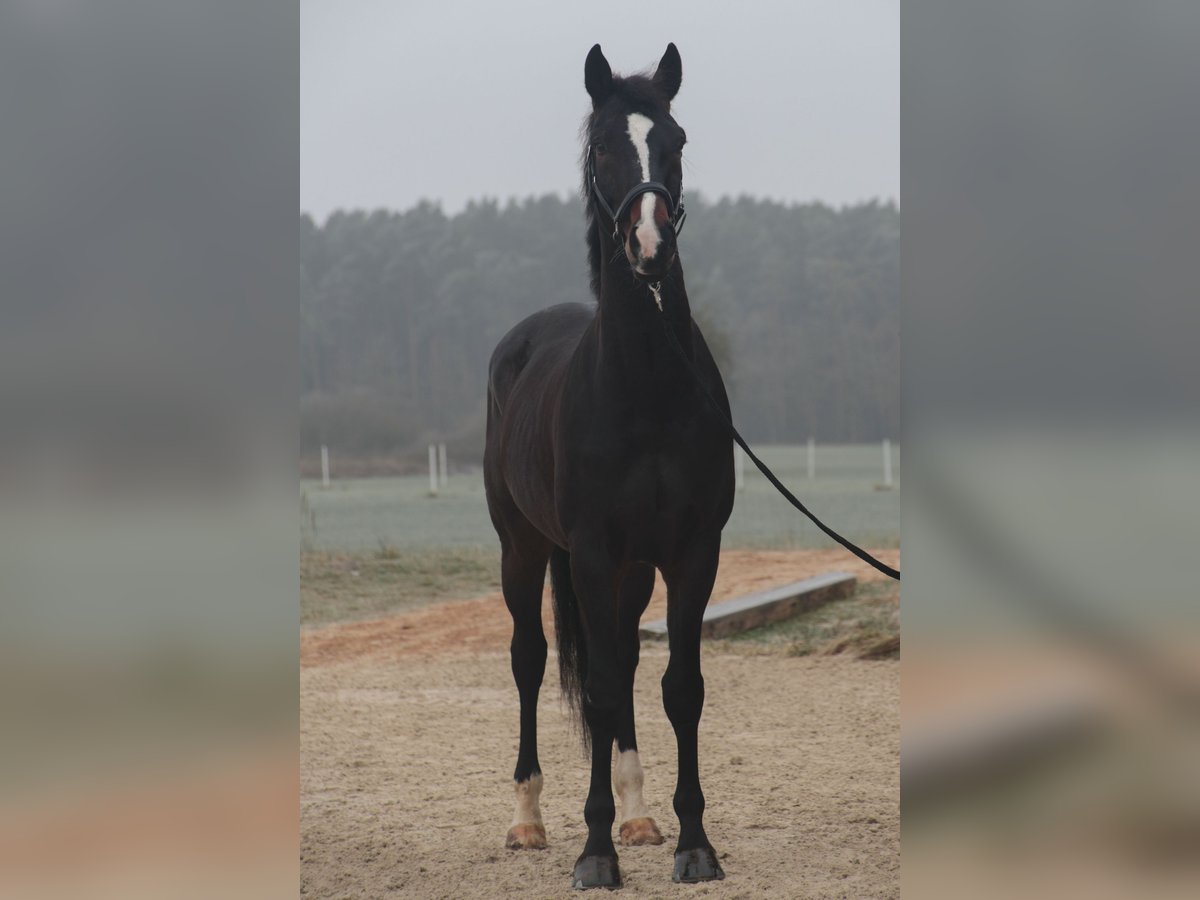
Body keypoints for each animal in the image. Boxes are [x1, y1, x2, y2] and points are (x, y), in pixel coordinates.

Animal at [484, 40, 729, 888]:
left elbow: (678, 687)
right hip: (524, 551)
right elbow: (589, 689)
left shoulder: (689, 552)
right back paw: (527, 820)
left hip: (631, 571)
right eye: (601, 147)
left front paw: (693, 841)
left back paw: (639, 814)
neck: (646, 386)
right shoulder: (588, 551)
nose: (650, 249)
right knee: (531, 661)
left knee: (621, 663)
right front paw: (594, 854)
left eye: (676, 141)